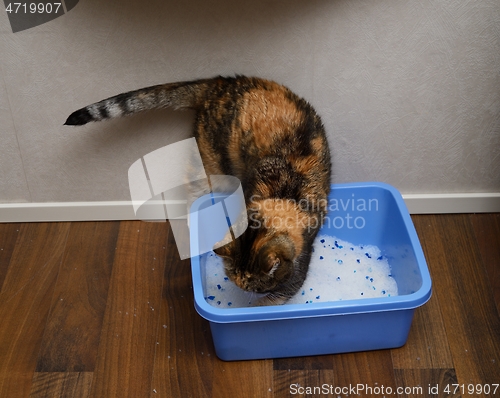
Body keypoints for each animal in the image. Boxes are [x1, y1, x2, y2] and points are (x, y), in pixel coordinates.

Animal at [66, 74, 332, 304]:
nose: (245, 292)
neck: (283, 194)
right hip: (210, 166)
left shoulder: (298, 266)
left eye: (255, 287)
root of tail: (220, 82)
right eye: (244, 285)